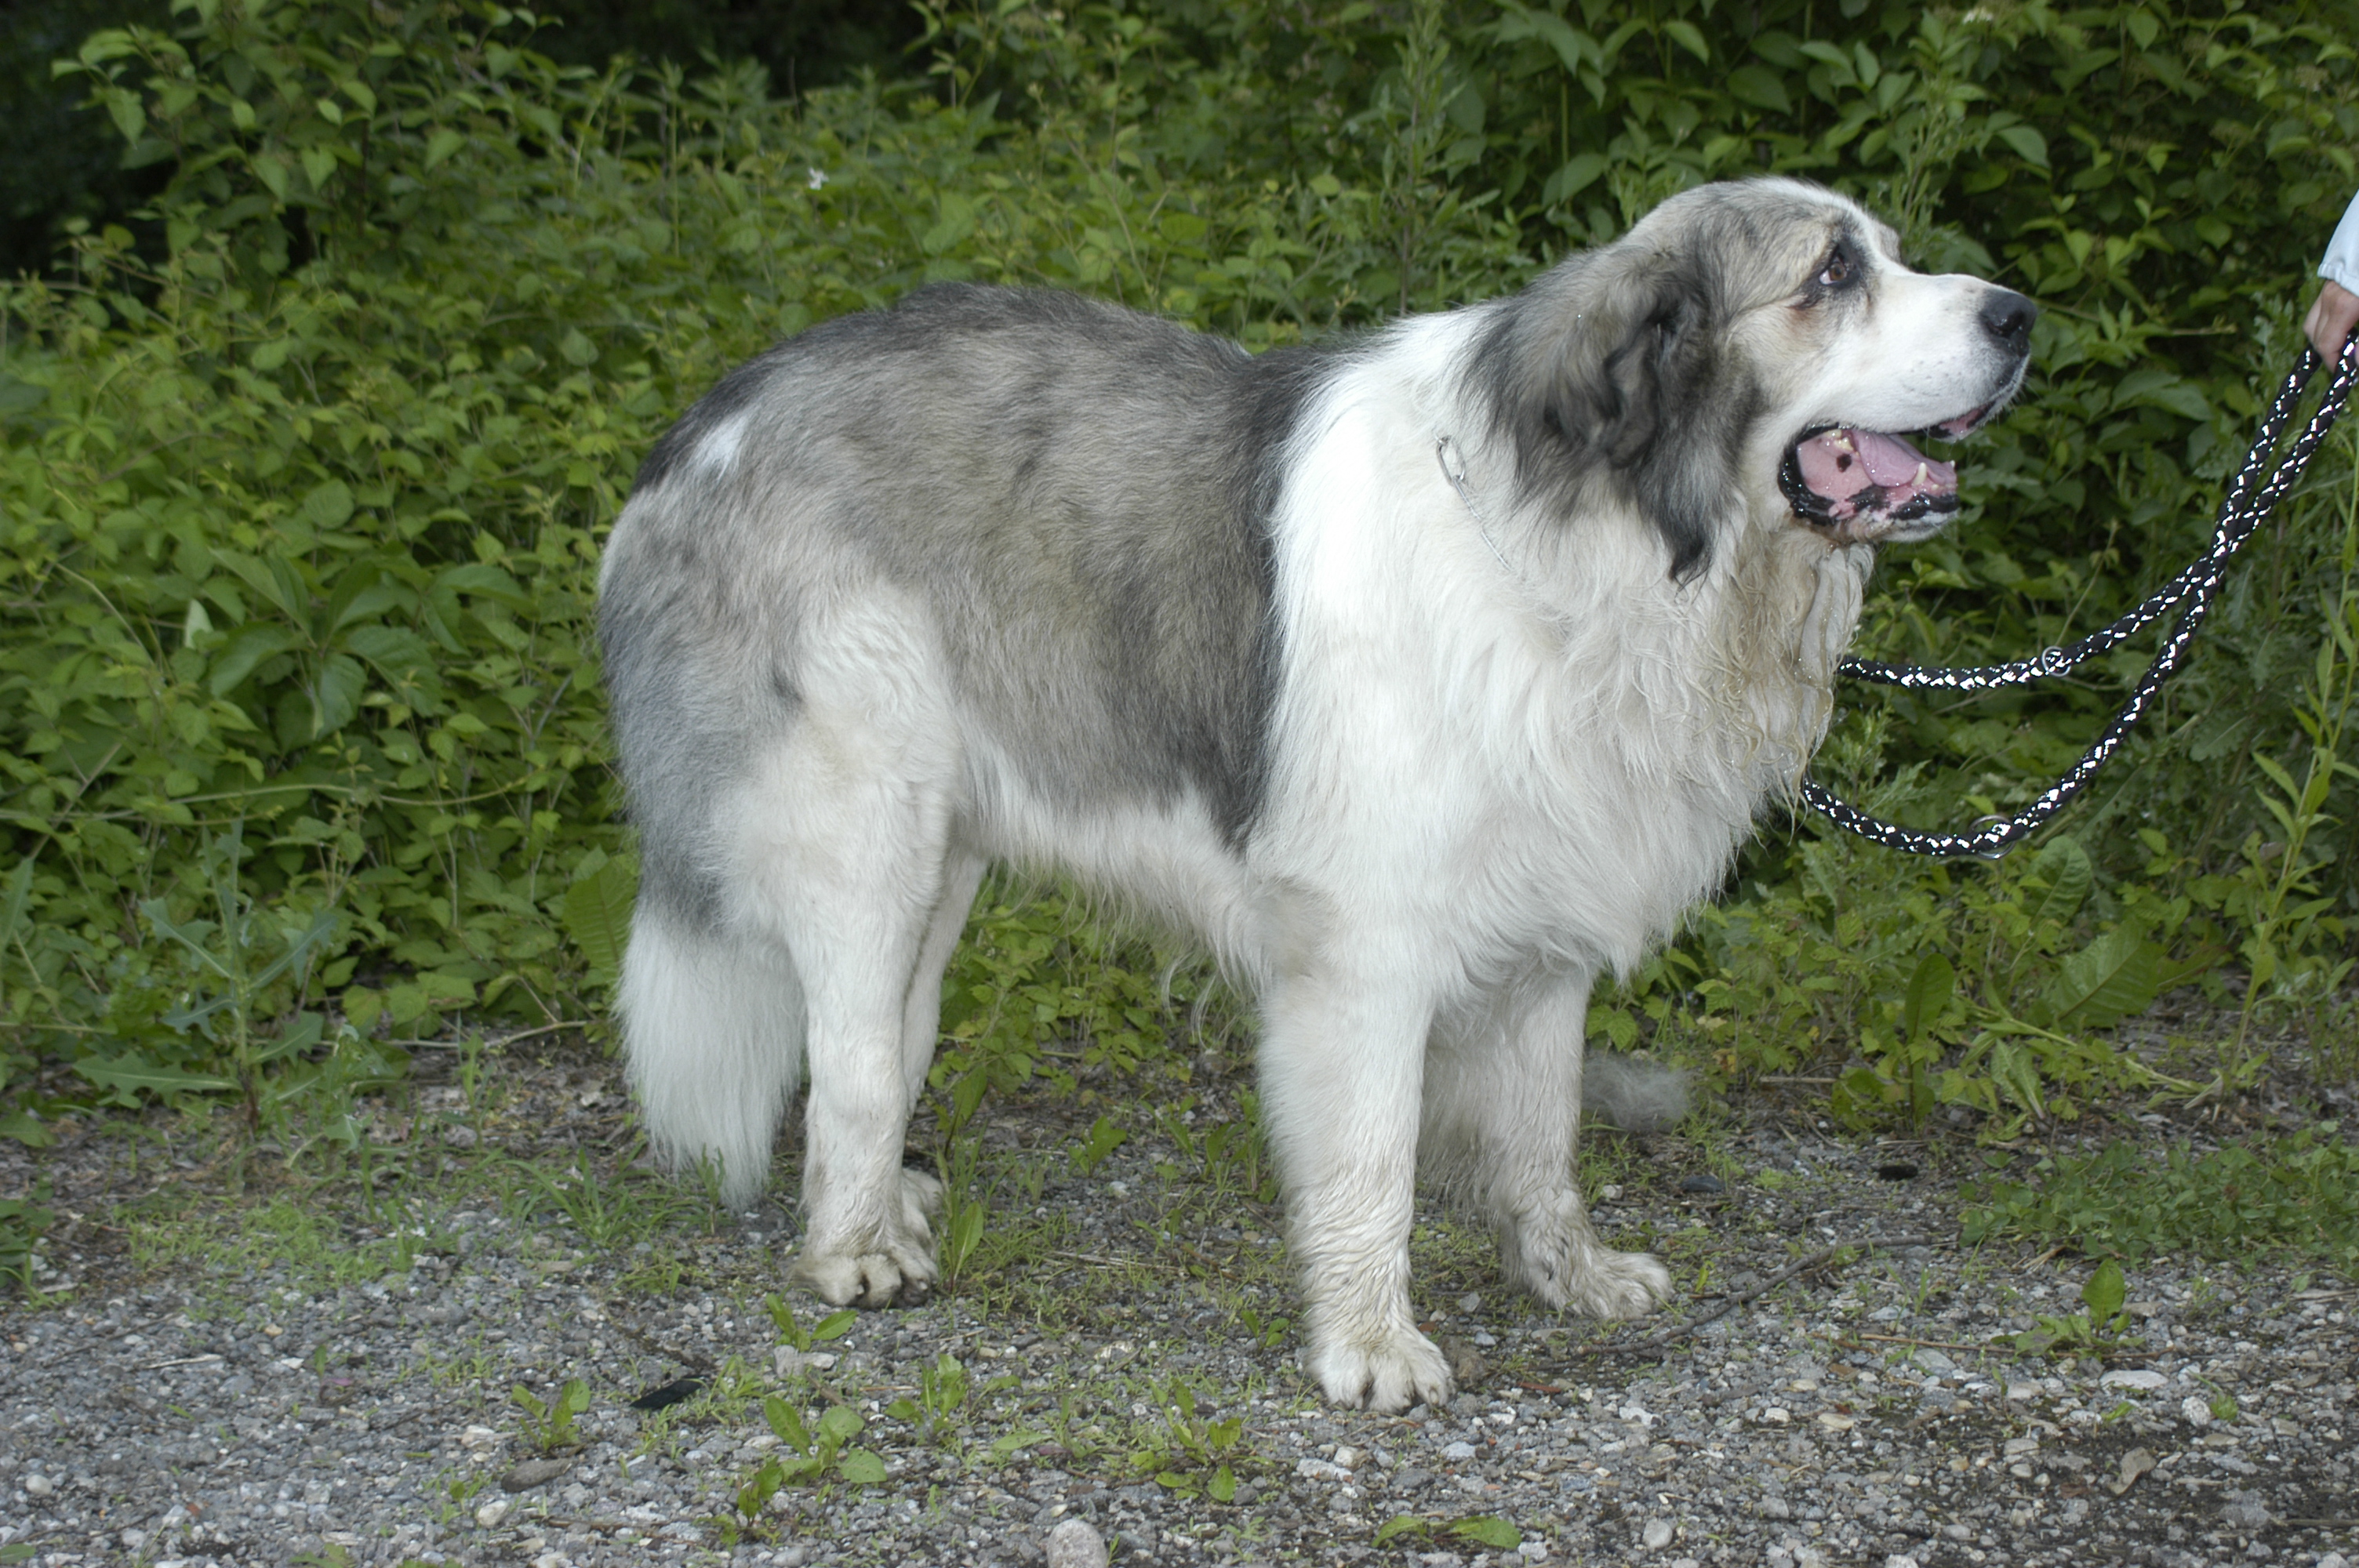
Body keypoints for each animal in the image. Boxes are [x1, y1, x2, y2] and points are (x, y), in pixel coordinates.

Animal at [604, 176, 2028, 1414]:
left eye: (1890, 254)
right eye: (1832, 274)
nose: (2017, 316)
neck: (1594, 538)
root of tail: (705, 428)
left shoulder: (1545, 940)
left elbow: (1542, 1137)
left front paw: (1565, 1273)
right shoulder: (1365, 953)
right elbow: (1371, 1164)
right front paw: (1369, 1345)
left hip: (939, 855)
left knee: (891, 1039)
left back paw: (886, 1202)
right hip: (863, 826)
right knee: (847, 1056)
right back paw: (849, 1247)